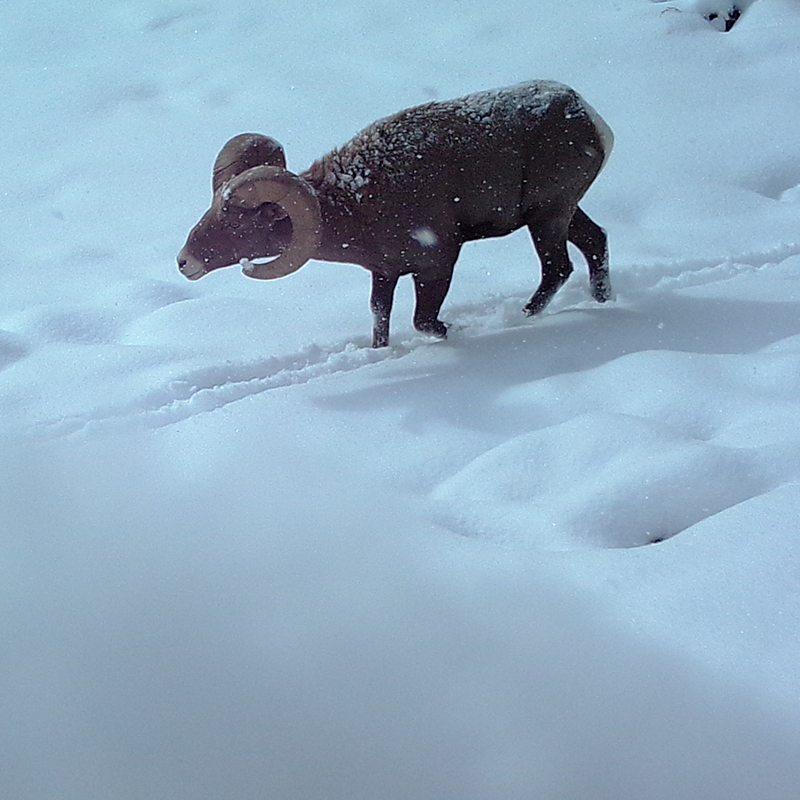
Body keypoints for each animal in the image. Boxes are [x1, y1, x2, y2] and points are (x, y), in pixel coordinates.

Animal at [178, 80, 614, 347]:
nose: (184, 262)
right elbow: (380, 318)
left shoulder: (437, 264)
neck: (355, 204)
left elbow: (425, 321)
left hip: (547, 217)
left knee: (557, 268)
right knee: (595, 243)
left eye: (238, 220)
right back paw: (603, 301)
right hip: (561, 212)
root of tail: (586, 116)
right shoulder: (384, 274)